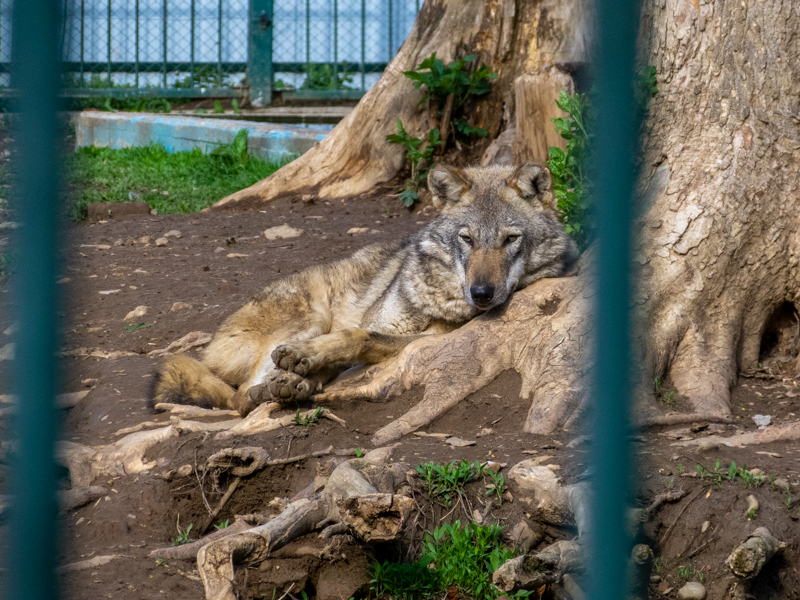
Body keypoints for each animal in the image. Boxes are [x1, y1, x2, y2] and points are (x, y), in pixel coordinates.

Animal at [153, 163, 577, 416]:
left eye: (510, 239)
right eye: (467, 239)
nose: (482, 293)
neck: (439, 297)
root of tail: (210, 349)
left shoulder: (425, 341)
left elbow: (355, 339)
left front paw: (304, 368)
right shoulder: (384, 325)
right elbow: (352, 337)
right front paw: (302, 365)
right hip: (310, 315)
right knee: (239, 395)